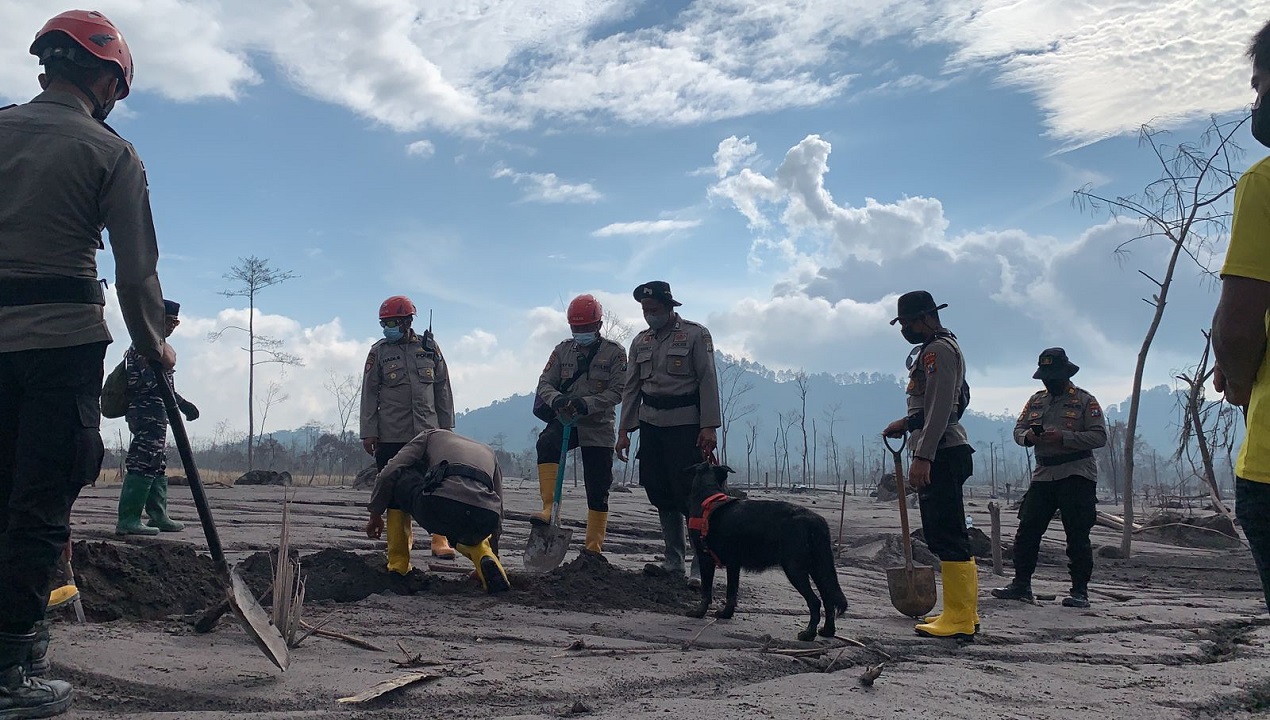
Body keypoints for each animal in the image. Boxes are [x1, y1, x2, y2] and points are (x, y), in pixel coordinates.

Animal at [680, 464, 848, 645]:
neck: (708, 496)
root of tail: (816, 521)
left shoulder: (705, 559)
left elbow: (706, 591)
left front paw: (699, 613)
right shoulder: (733, 565)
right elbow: (731, 592)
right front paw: (726, 614)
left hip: (795, 569)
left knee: (815, 602)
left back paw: (808, 634)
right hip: (818, 569)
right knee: (828, 600)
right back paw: (828, 631)